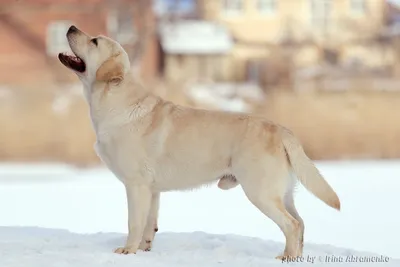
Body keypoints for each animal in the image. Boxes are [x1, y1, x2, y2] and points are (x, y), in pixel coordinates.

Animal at [58, 26, 340, 260]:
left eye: (94, 41)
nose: (70, 27)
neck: (114, 101)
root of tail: (282, 130)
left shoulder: (135, 185)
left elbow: (134, 222)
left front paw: (127, 251)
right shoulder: (152, 189)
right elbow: (150, 223)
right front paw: (144, 250)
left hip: (260, 191)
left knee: (291, 225)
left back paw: (287, 257)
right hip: (283, 193)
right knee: (300, 223)